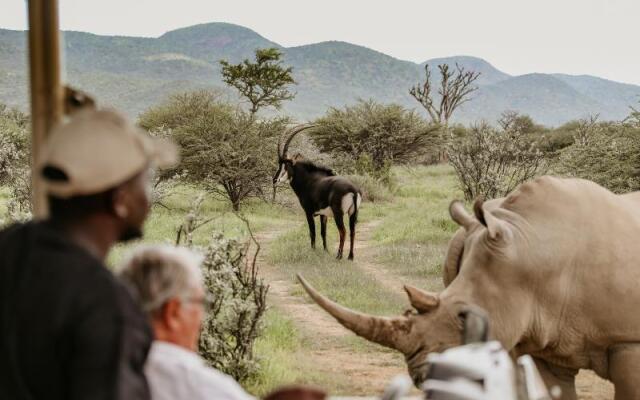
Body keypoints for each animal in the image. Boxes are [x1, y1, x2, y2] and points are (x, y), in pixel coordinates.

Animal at [272, 126, 360, 260]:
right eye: (279, 164)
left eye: (286, 165)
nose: (275, 180)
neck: (308, 180)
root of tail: (353, 190)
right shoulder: (323, 214)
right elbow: (323, 233)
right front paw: (325, 251)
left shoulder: (308, 212)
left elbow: (312, 232)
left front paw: (312, 251)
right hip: (352, 214)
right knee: (352, 232)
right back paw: (350, 256)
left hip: (338, 214)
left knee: (343, 231)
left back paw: (339, 256)